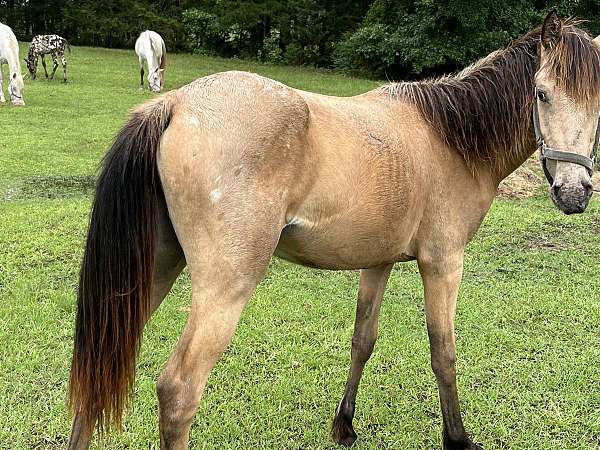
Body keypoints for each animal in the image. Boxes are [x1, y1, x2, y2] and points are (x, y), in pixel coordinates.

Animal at [65, 12, 600, 450]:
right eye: (542, 93)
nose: (575, 193)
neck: (449, 137)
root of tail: (176, 104)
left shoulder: (378, 262)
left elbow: (363, 340)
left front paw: (344, 426)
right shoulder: (443, 263)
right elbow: (443, 352)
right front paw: (457, 439)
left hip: (149, 274)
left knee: (96, 368)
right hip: (223, 288)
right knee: (179, 390)